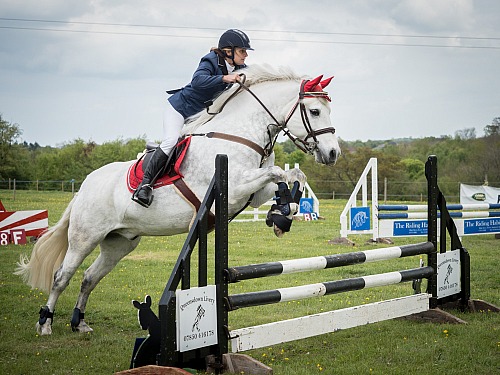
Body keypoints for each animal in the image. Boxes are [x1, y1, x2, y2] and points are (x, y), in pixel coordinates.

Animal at [17, 64, 342, 334]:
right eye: (315, 111)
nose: (332, 153)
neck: (240, 134)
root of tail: (84, 188)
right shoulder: (235, 186)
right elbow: (278, 172)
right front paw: (282, 213)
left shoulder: (252, 193)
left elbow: (292, 175)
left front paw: (282, 214)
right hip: (85, 236)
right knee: (62, 275)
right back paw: (45, 324)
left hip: (119, 242)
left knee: (89, 278)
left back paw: (80, 323)